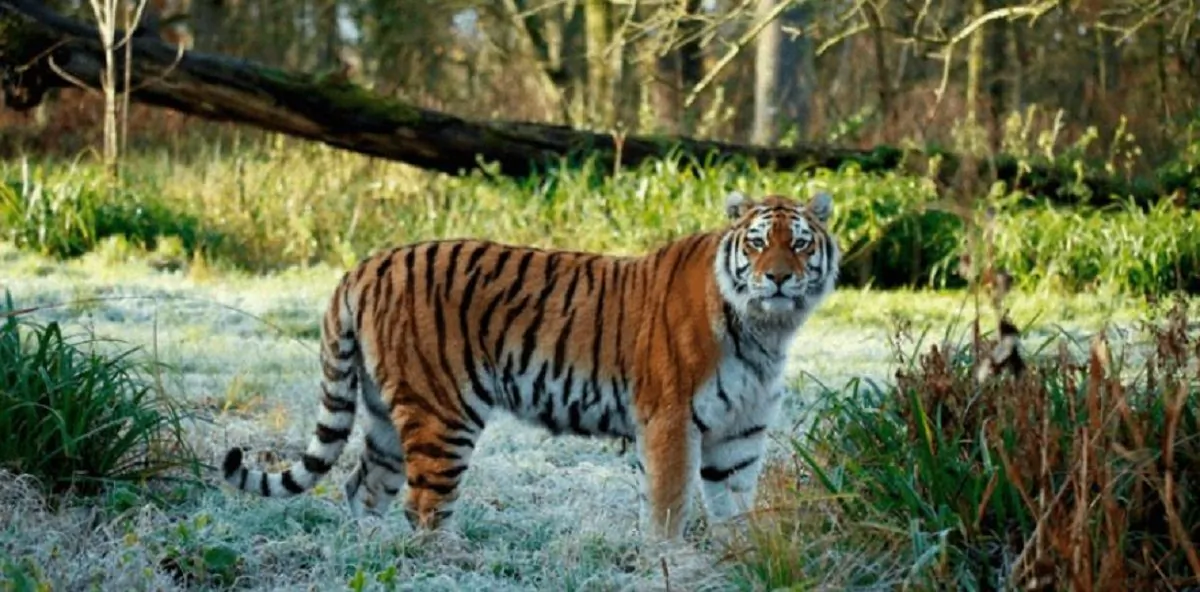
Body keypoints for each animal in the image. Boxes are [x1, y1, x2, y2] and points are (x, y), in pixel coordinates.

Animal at [220, 189, 841, 540]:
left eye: (800, 244)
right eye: (757, 243)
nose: (777, 278)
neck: (766, 330)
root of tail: (369, 263)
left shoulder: (740, 434)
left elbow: (736, 511)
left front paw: (742, 560)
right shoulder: (670, 421)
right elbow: (668, 510)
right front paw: (673, 564)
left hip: (384, 415)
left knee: (364, 488)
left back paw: (370, 553)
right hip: (442, 413)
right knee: (425, 507)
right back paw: (453, 564)